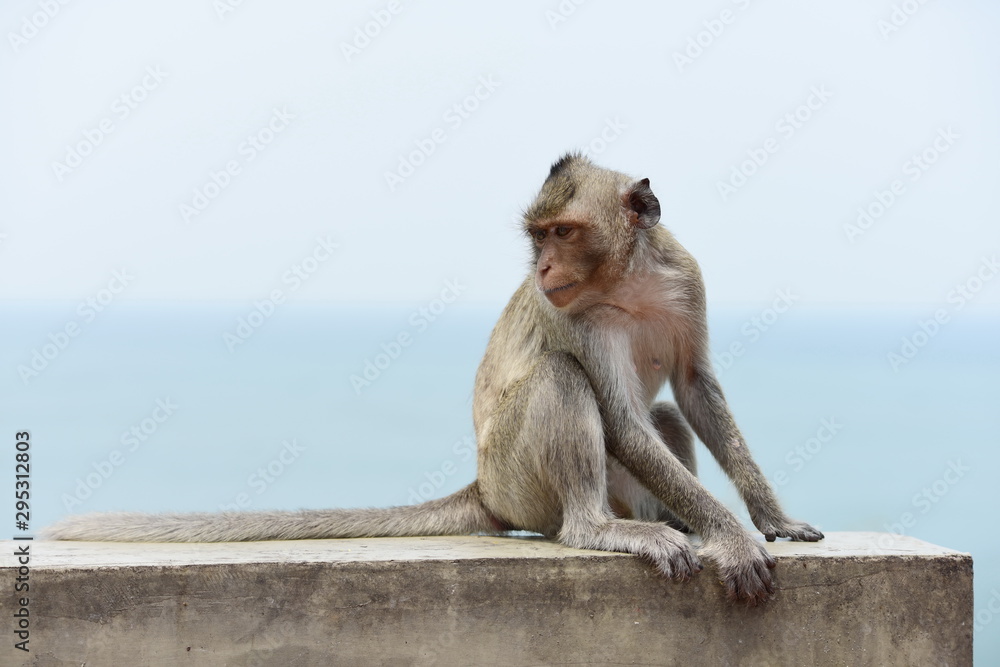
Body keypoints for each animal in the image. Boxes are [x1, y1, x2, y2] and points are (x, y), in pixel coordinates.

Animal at [45, 153, 822, 605]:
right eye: (538, 237)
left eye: (564, 233)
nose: (543, 267)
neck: (625, 282)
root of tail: (485, 487)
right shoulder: (573, 317)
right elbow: (621, 418)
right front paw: (733, 538)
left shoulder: (684, 279)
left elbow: (694, 389)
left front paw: (767, 519)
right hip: (519, 478)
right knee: (561, 379)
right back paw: (602, 528)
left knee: (661, 418)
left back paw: (667, 518)